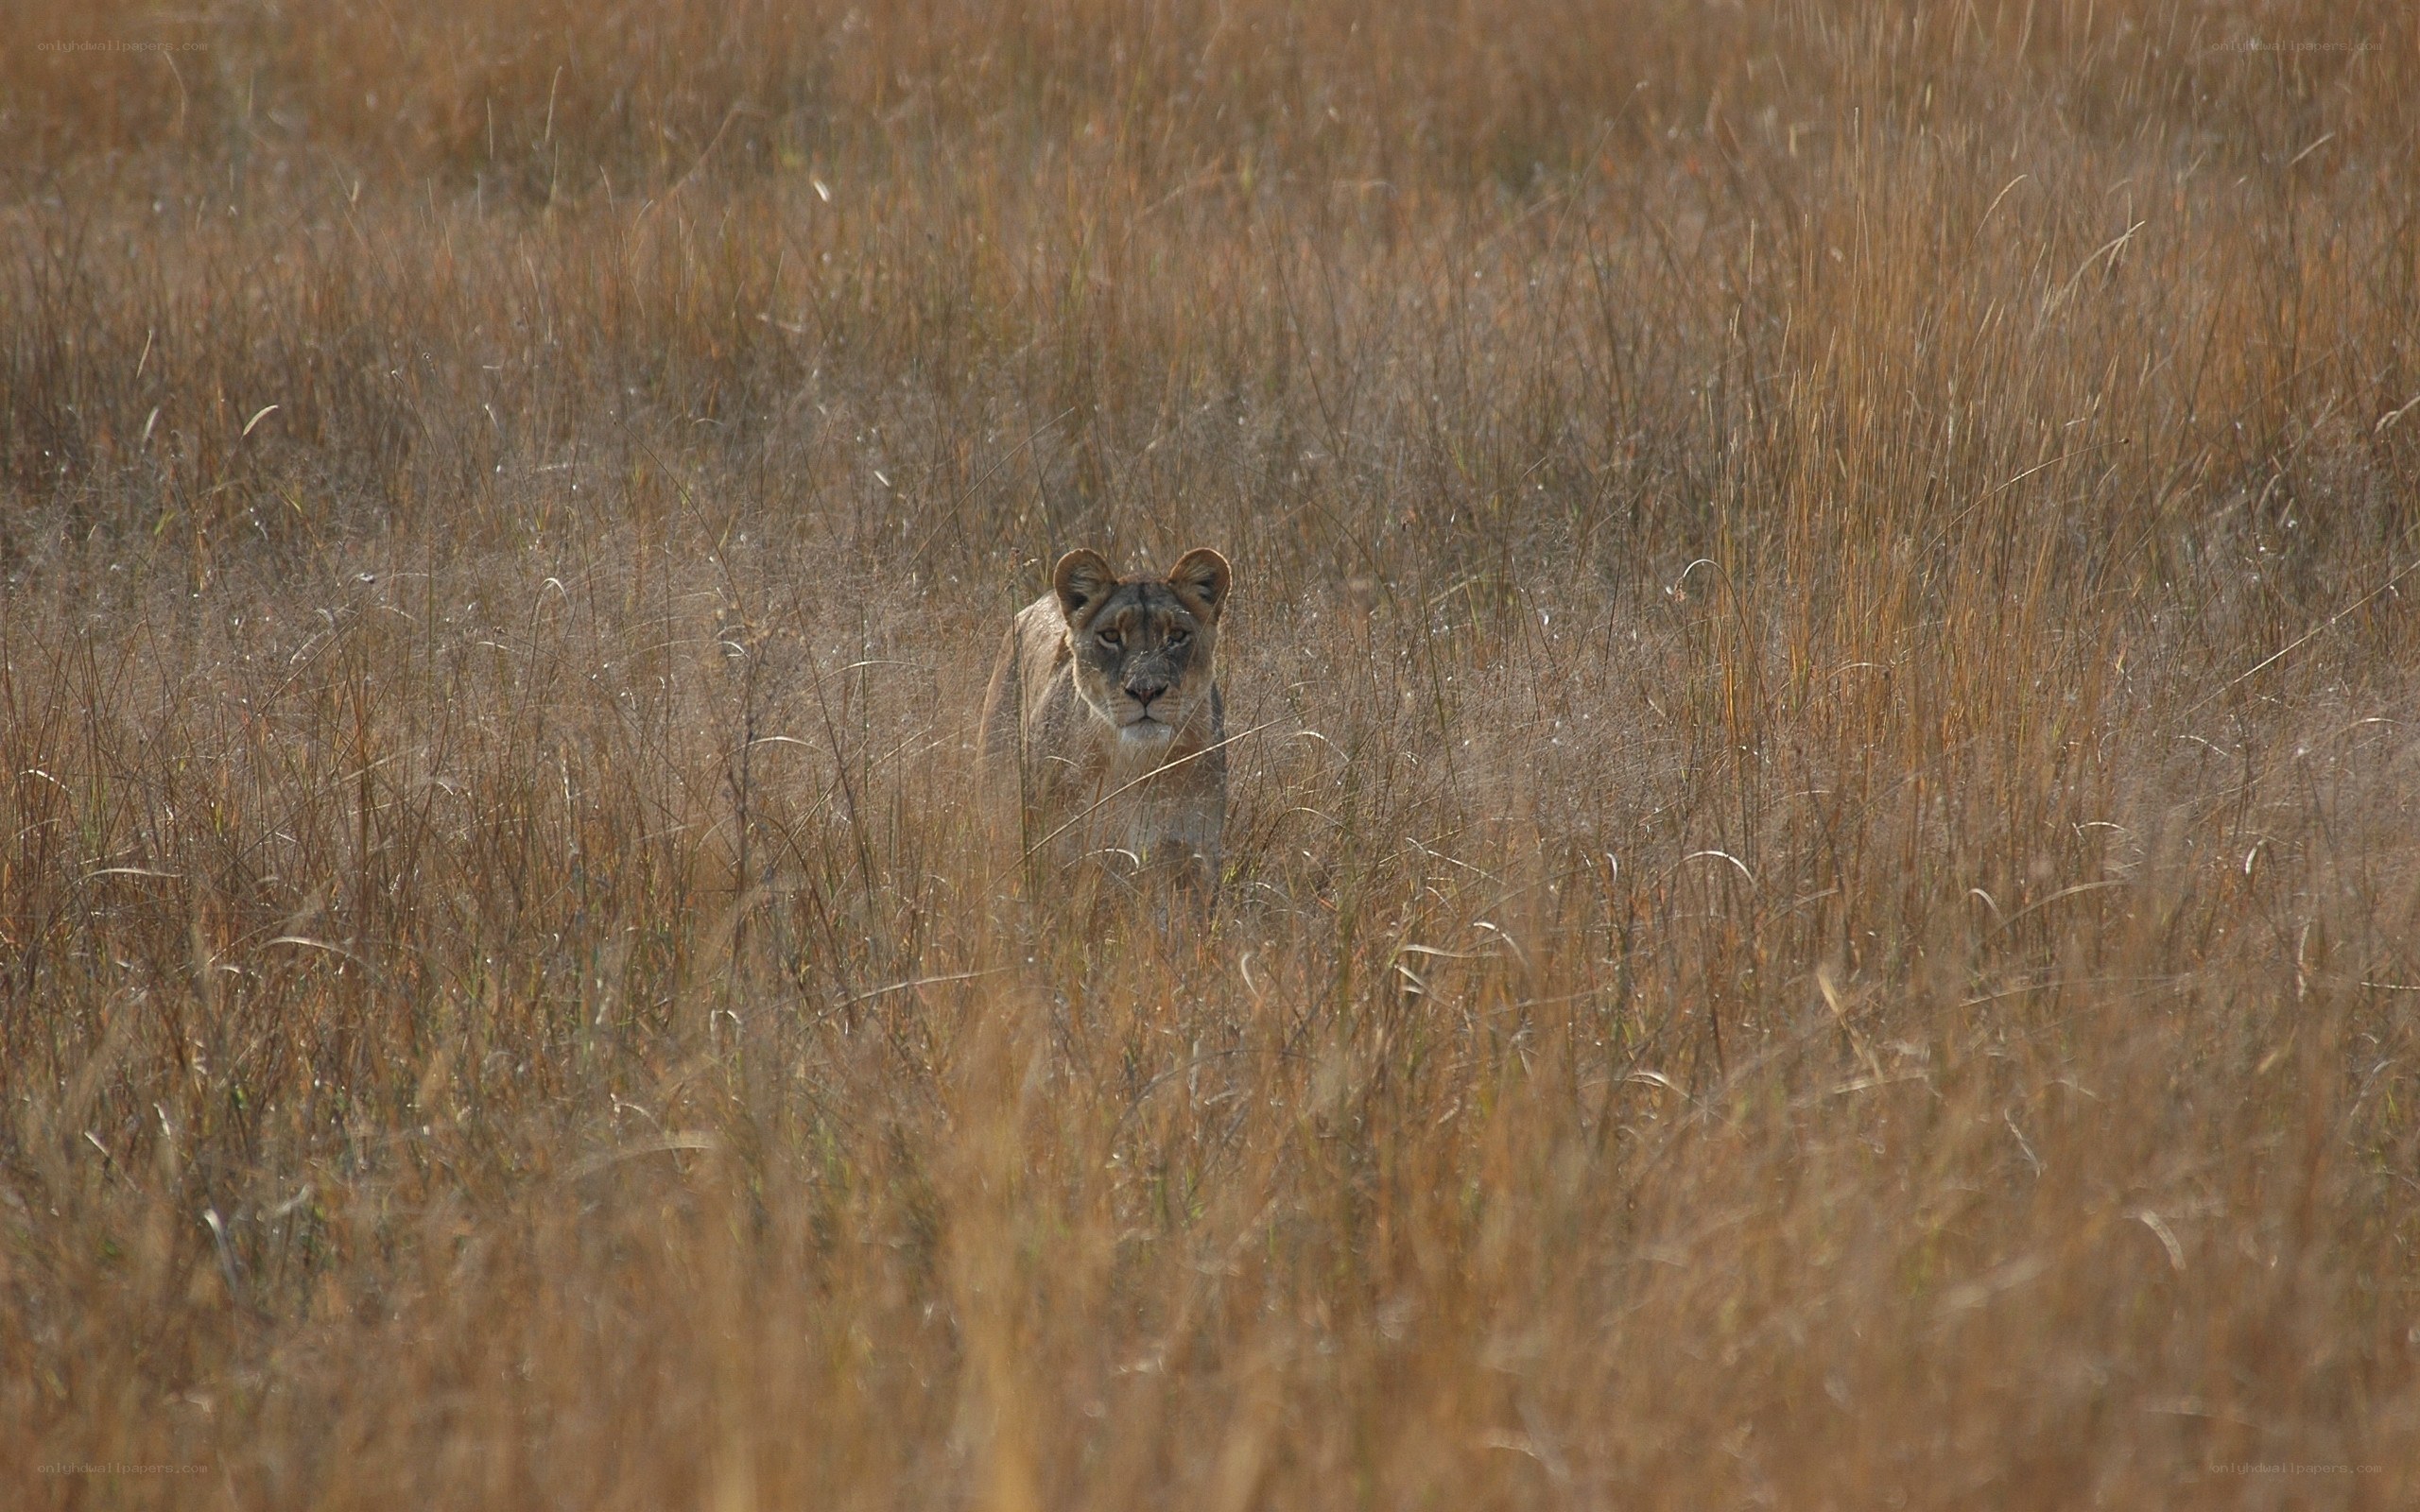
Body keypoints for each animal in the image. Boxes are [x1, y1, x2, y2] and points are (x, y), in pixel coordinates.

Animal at [977, 546, 1232, 896]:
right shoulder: (1064, 855)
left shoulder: (1193, 857)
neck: (1138, 766)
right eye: (1111, 636)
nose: (1145, 690)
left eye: (1177, 636)